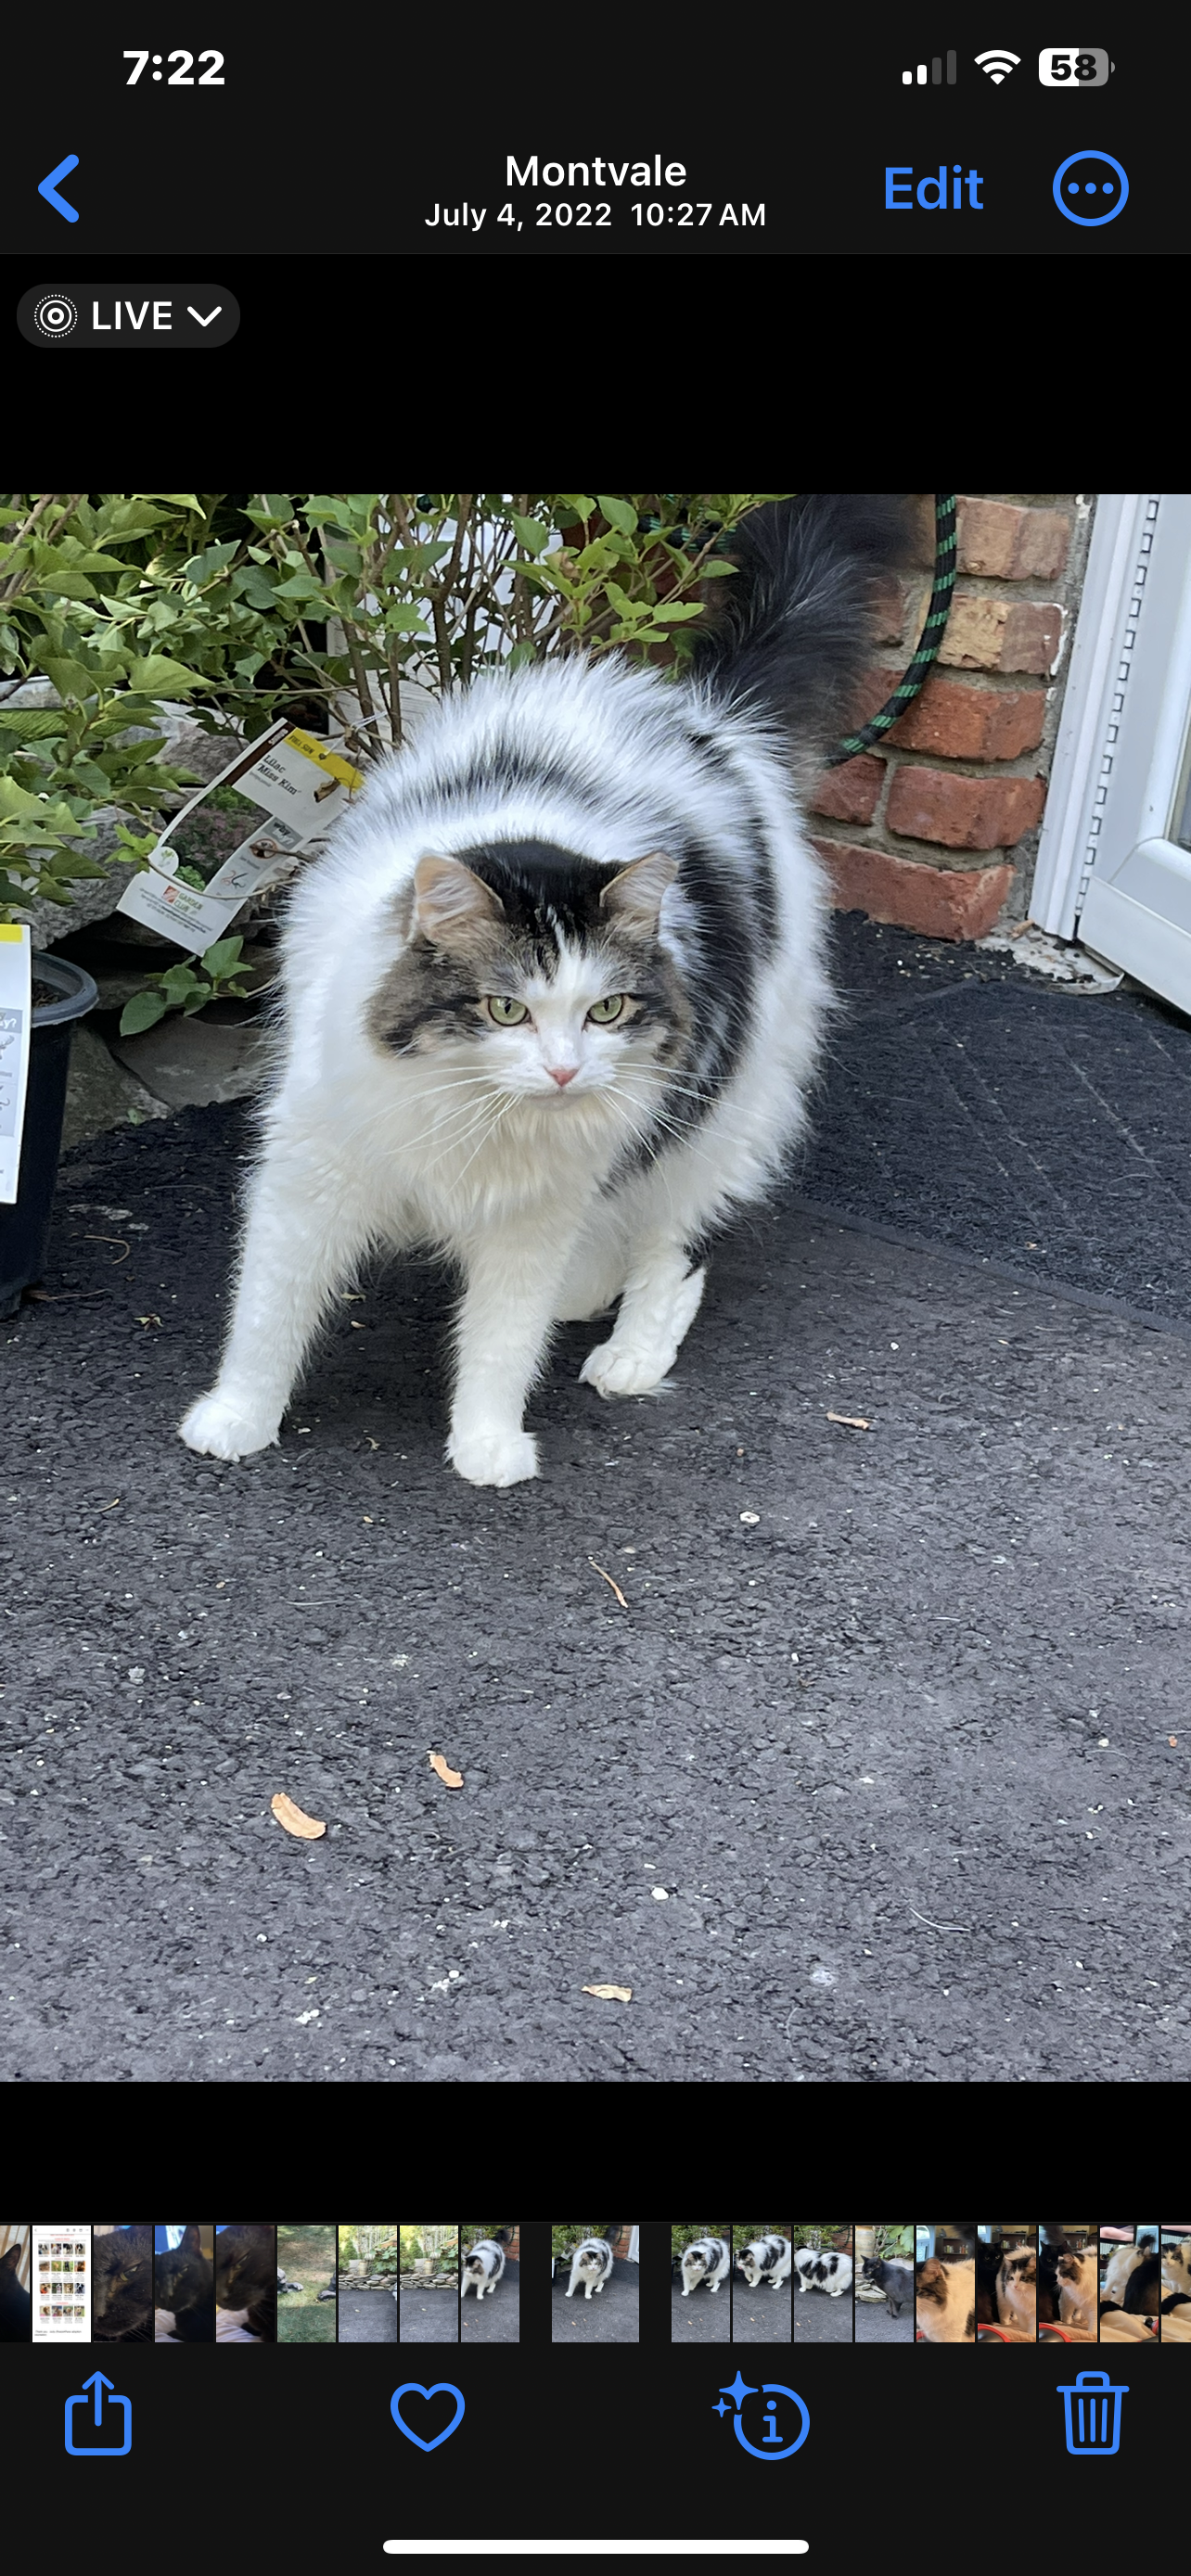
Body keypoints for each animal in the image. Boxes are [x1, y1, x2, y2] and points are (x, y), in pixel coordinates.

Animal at [178, 495, 906, 1488]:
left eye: (605, 1009)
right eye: (505, 1009)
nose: (564, 1071)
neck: (474, 1113)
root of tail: (708, 715)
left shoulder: (534, 1213)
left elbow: (502, 1339)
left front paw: (487, 1445)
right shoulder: (313, 1174)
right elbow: (268, 1312)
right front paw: (237, 1419)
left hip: (715, 1106)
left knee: (672, 1245)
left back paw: (630, 1353)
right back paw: (587, 1292)